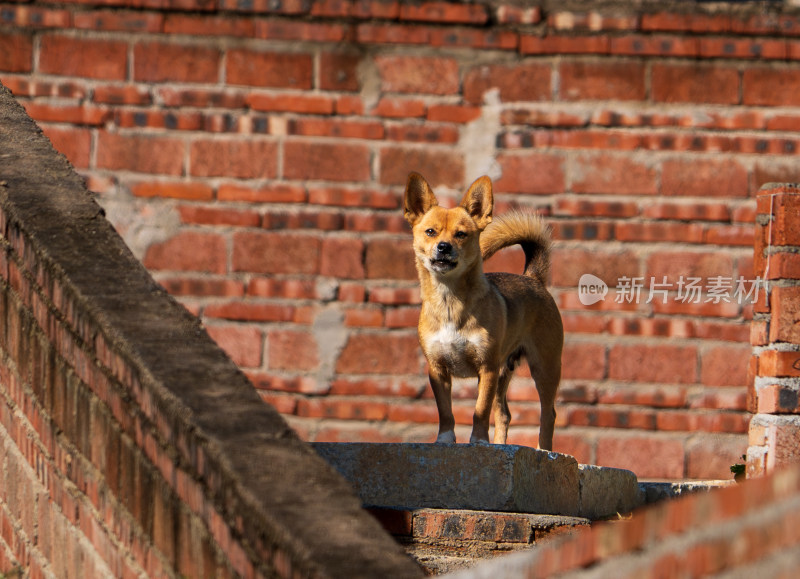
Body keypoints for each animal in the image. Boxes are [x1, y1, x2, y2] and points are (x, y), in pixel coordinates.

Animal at [400, 174, 564, 450]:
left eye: (461, 234)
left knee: (548, 413)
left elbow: (480, 410)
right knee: (504, 413)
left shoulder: (486, 369)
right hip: (504, 372)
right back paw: (500, 445)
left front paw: (478, 441)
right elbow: (446, 411)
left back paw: (544, 449)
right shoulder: (438, 370)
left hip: (544, 366)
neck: (449, 300)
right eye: (430, 232)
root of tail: (533, 278)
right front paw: (445, 439)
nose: (444, 247)